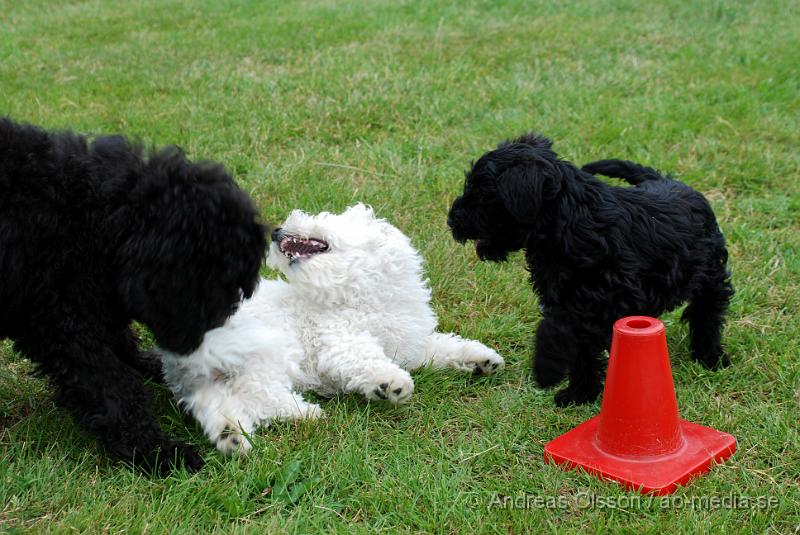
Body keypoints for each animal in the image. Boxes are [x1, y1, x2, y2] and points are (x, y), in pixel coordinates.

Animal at [0, 117, 268, 474]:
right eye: (209, 284)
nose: (196, 350)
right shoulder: (64, 323)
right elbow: (115, 385)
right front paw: (156, 450)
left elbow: (120, 342)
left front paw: (148, 365)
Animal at [159, 203, 504, 454]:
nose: (276, 231)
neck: (362, 297)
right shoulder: (340, 339)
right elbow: (366, 358)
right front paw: (390, 383)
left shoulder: (409, 346)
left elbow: (444, 347)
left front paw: (482, 359)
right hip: (266, 352)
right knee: (256, 393)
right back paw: (303, 413)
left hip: (210, 377)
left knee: (214, 402)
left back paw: (231, 435)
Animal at [446, 133, 736, 406]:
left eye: (481, 193)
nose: (451, 219)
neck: (568, 221)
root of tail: (670, 181)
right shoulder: (564, 296)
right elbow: (580, 349)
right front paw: (581, 393)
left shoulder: (604, 298)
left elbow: (561, 329)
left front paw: (549, 369)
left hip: (710, 275)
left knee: (708, 313)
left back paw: (710, 357)